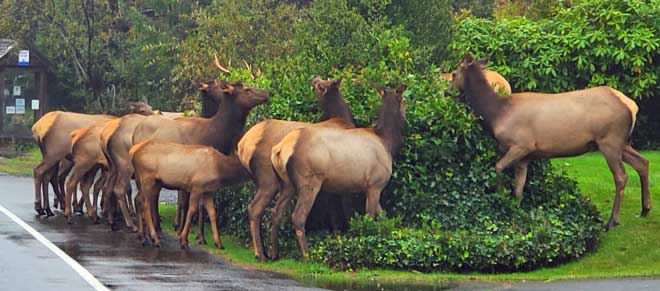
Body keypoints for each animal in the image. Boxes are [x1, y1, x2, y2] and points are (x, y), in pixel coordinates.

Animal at [237, 77, 356, 262]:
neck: (342, 118)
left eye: (324, 80)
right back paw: (262, 254)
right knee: (255, 209)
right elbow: (342, 211)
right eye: (320, 84)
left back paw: (267, 252)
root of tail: (242, 146)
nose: (314, 78)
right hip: (268, 179)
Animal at [270, 85, 408, 258]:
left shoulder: (372, 187)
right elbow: (370, 217)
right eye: (403, 101)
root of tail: (280, 149)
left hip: (286, 183)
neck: (388, 143)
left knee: (276, 213)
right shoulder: (375, 184)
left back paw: (273, 253)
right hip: (310, 181)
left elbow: (382, 216)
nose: (406, 117)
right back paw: (307, 255)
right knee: (298, 216)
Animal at [448, 53, 648, 230]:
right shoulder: (525, 156)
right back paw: (645, 209)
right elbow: (519, 188)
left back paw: (612, 221)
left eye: (454, 73)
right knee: (643, 162)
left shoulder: (521, 144)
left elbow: (498, 168)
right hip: (622, 142)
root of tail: (632, 106)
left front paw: (501, 200)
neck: (496, 114)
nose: (445, 91)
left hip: (609, 140)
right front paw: (516, 213)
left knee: (621, 176)